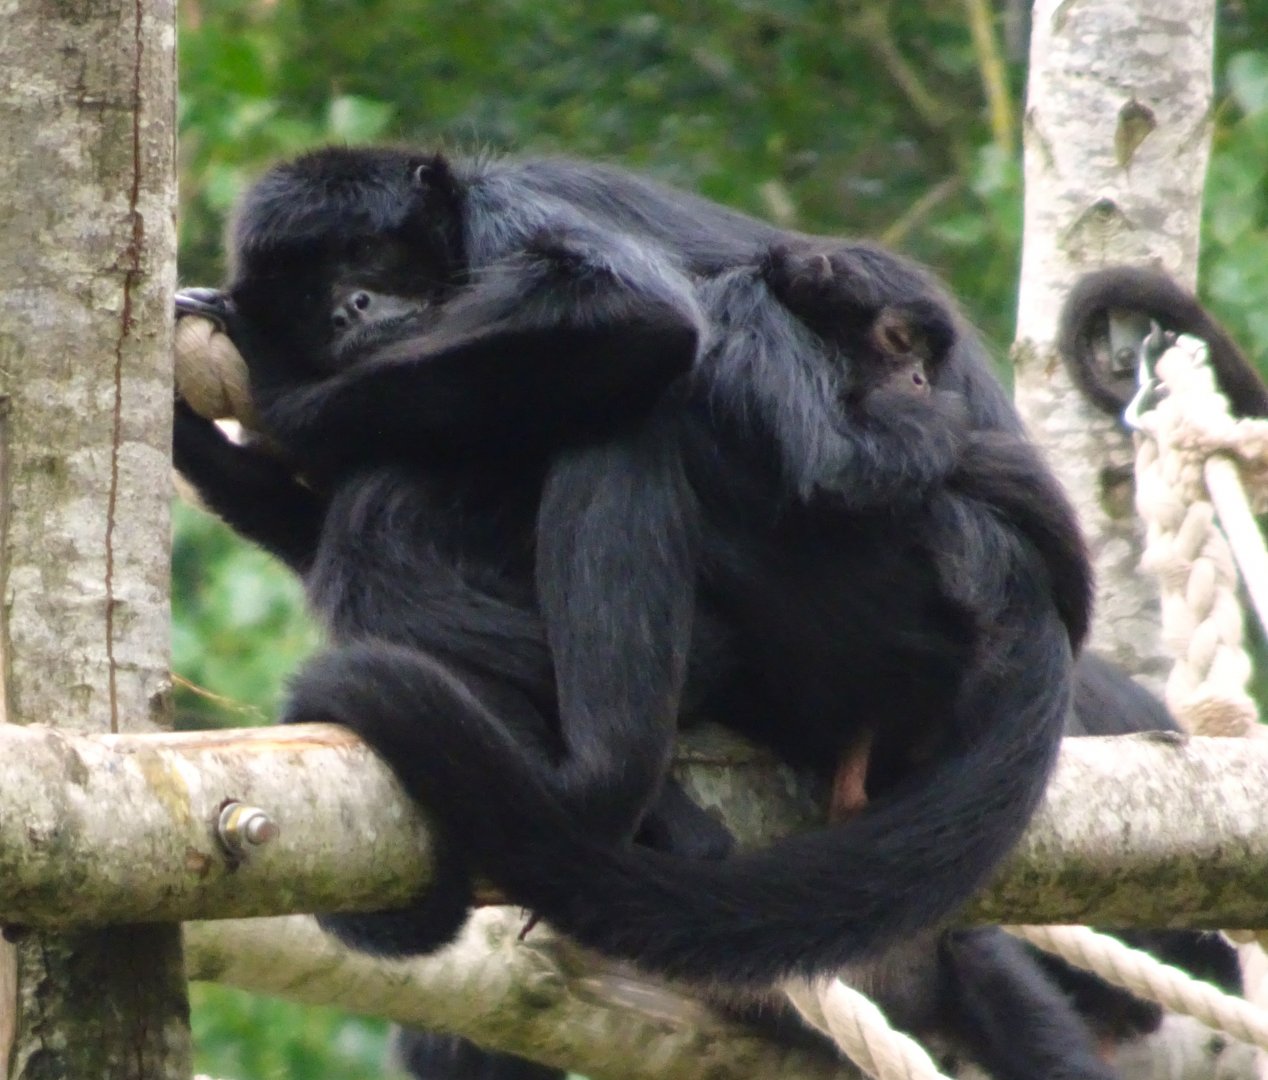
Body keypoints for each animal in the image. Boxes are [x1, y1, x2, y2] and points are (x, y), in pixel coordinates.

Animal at [175, 146, 1110, 1080]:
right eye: (309, 291)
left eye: (363, 256)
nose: (349, 307)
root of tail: (1028, 597)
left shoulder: (510, 213)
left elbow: (641, 319)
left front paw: (279, 384)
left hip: (886, 579)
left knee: (631, 412)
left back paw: (598, 781)